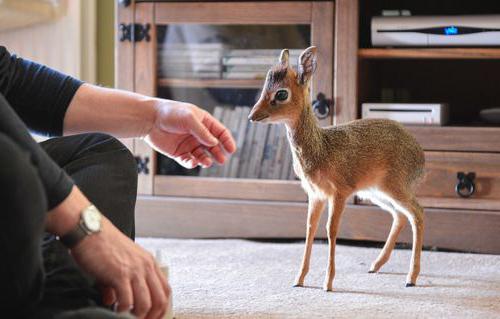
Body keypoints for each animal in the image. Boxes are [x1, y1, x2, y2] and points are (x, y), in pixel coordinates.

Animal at [248, 46, 424, 292]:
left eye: (281, 94)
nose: (252, 116)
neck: (320, 148)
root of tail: (421, 157)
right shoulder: (316, 195)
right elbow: (310, 228)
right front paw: (298, 279)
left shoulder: (339, 193)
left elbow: (331, 230)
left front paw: (328, 283)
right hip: (376, 192)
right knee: (399, 215)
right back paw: (376, 265)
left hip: (395, 187)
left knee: (418, 213)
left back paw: (411, 278)